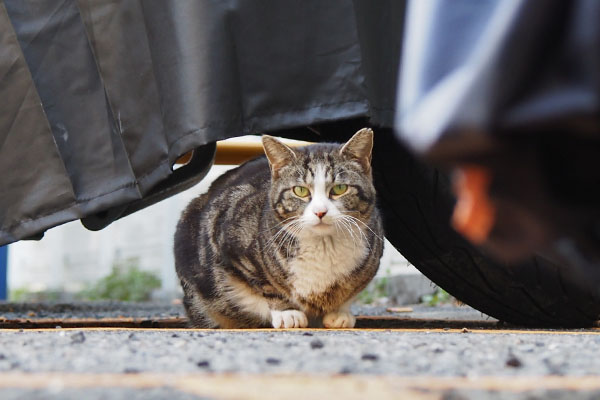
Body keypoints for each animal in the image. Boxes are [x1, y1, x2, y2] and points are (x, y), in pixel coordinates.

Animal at [172, 128, 384, 328]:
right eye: (300, 190)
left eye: (340, 189)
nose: (320, 212)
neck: (323, 245)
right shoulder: (231, 244)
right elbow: (266, 285)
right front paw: (287, 312)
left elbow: (352, 290)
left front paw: (340, 312)